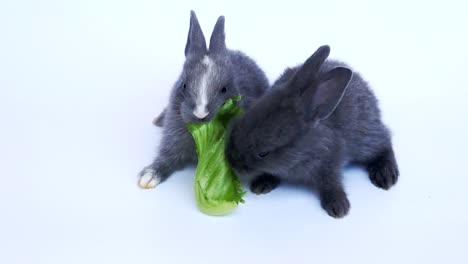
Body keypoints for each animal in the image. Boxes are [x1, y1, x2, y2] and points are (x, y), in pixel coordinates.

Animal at [138, 10, 266, 188]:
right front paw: (148, 177)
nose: (200, 114)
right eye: (183, 85)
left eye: (224, 89)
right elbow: (166, 158)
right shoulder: (172, 140)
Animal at [226, 46, 398, 219]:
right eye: (238, 126)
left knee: (385, 142)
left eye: (263, 153)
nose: (232, 161)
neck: (303, 151)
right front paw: (262, 184)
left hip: (365, 138)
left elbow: (332, 183)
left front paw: (338, 206)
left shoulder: (330, 163)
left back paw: (386, 175)